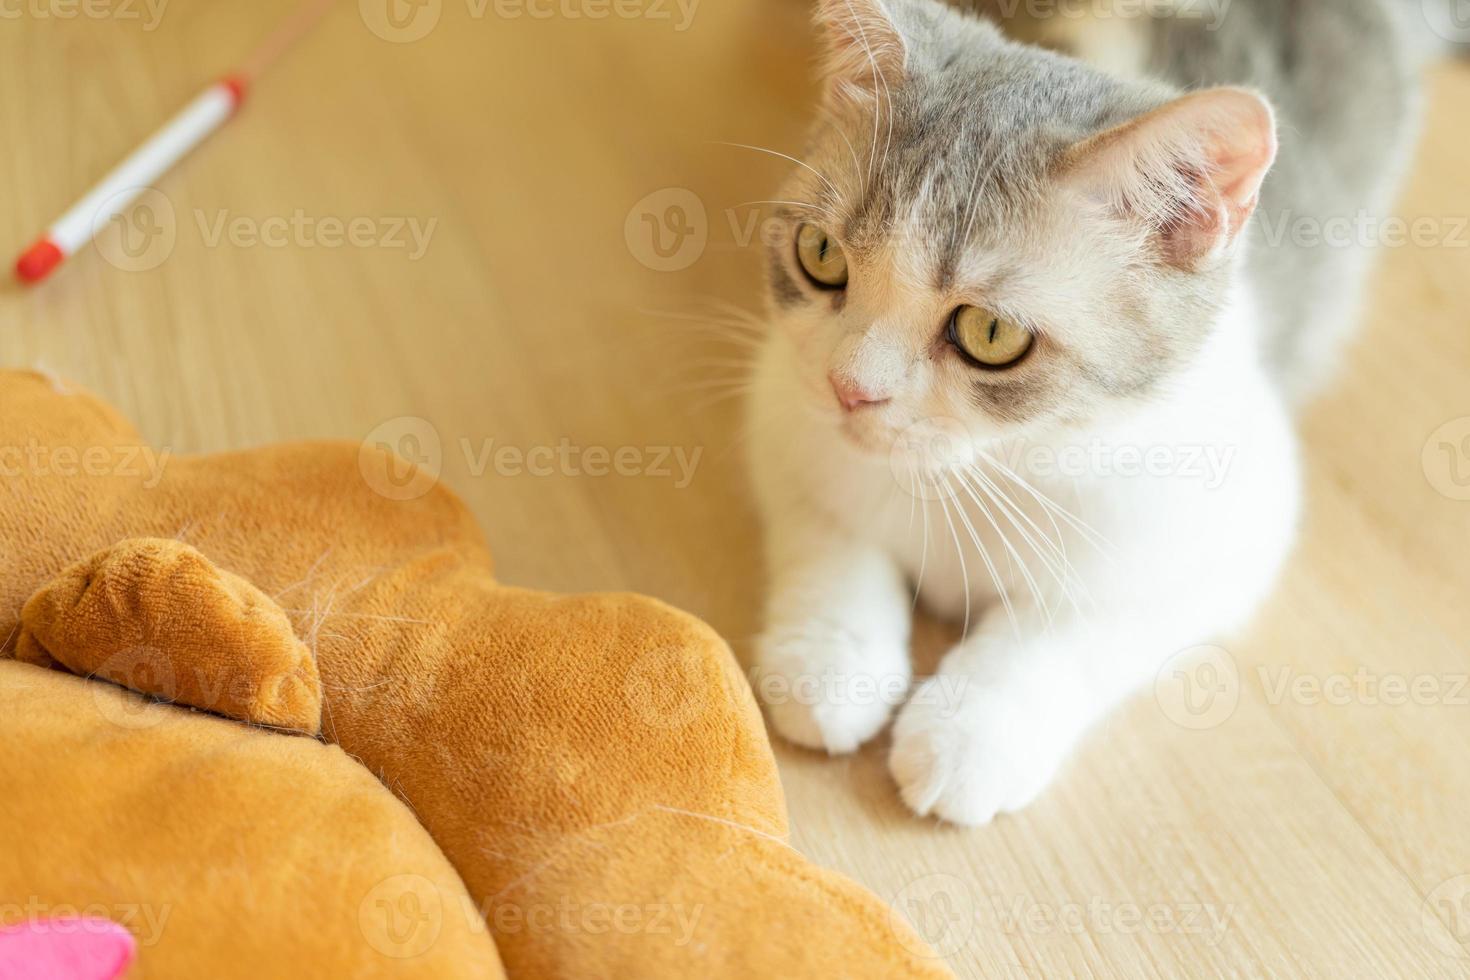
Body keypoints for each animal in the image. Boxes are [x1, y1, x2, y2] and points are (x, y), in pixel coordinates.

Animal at [746, 0, 1434, 828]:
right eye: (821, 255)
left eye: (990, 333)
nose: (850, 387)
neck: (978, 472)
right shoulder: (781, 406)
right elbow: (827, 531)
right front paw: (828, 663)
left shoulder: (1230, 524)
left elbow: (1070, 628)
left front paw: (972, 732)